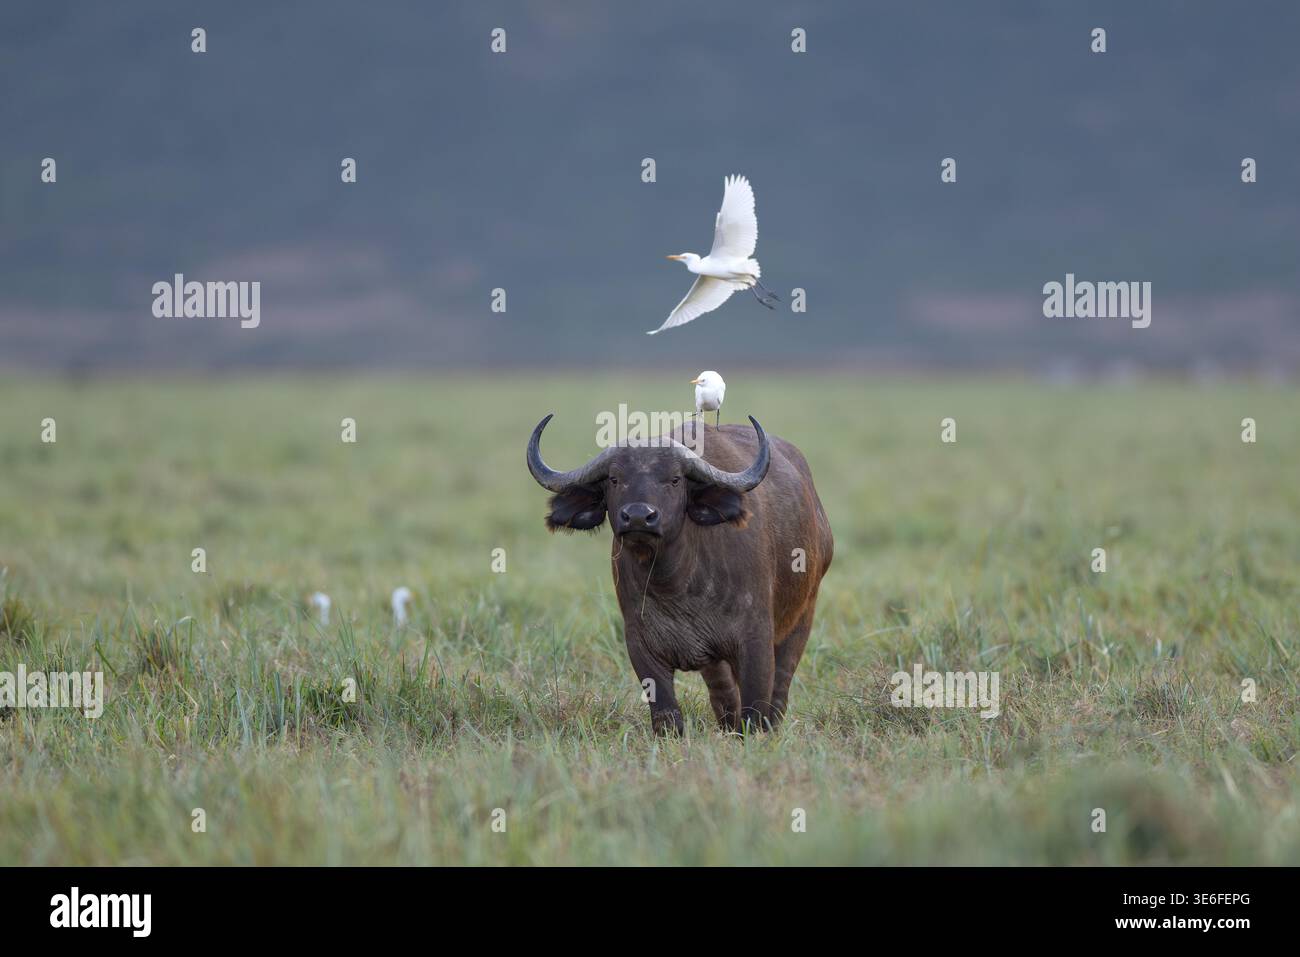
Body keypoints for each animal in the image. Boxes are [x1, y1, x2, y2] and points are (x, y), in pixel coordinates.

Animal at [526, 414, 833, 734]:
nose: (639, 516)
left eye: (674, 479)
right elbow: (667, 716)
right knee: (724, 696)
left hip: (802, 617)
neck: (676, 583)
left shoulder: (756, 641)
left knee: (780, 687)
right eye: (614, 479)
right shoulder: (641, 647)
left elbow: (755, 711)